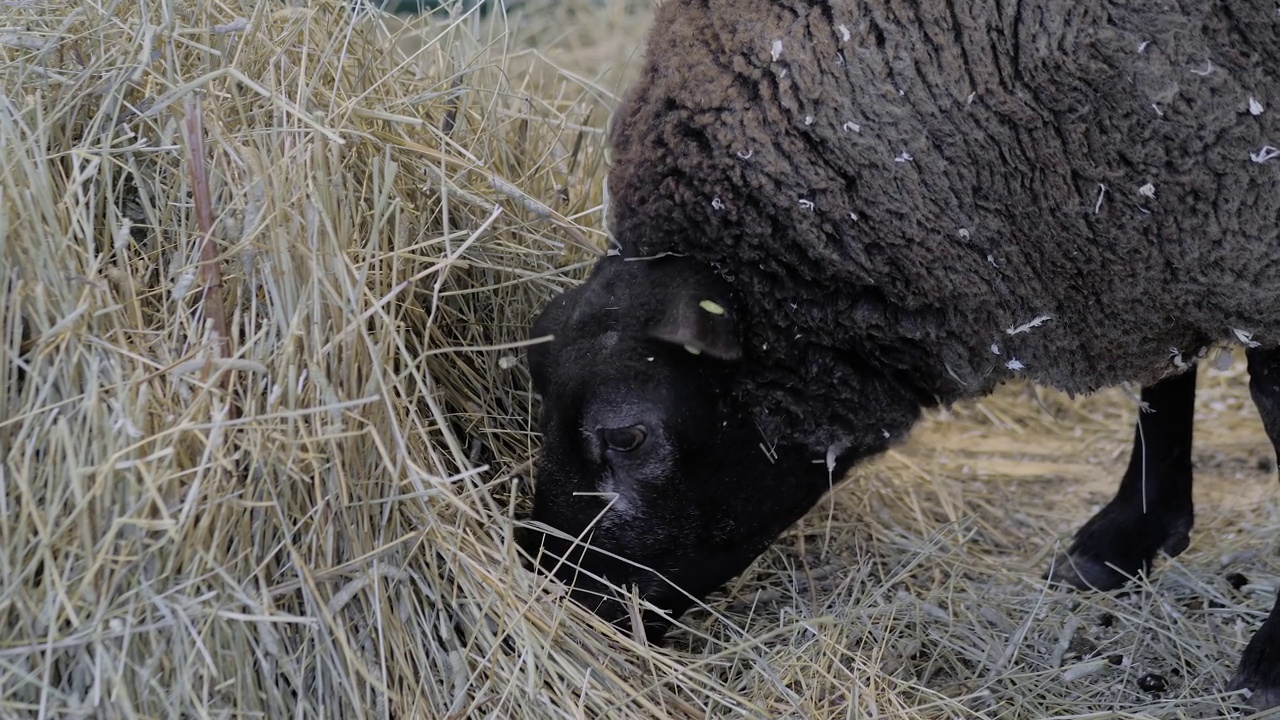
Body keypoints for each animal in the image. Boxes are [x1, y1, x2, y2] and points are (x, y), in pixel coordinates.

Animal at [517, 0, 1280, 707]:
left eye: (627, 435)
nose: (553, 586)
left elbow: (1265, 399)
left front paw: (1271, 654)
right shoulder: (1159, 214)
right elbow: (1165, 368)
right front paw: (1127, 537)